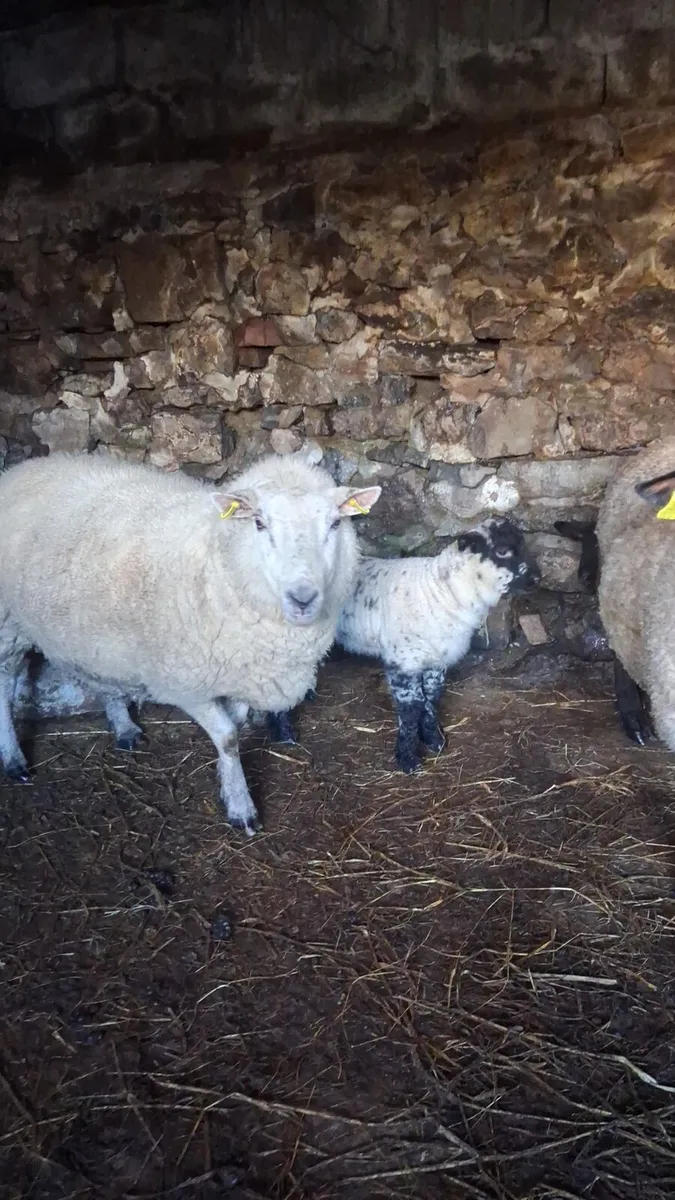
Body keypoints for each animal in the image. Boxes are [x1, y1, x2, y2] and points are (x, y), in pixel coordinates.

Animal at [0, 451, 380, 834]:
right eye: (259, 523)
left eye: (335, 523)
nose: (302, 598)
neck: (217, 563)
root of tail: (20, 469)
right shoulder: (186, 685)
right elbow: (227, 736)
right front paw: (241, 806)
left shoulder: (242, 674)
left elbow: (237, 724)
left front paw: (226, 780)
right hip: (8, 624)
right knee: (5, 684)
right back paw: (14, 759)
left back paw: (124, 727)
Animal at [268, 517, 540, 772]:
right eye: (502, 550)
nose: (537, 578)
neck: (443, 592)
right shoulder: (403, 661)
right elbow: (411, 708)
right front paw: (408, 758)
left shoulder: (435, 660)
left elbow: (432, 699)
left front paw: (433, 740)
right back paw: (285, 733)